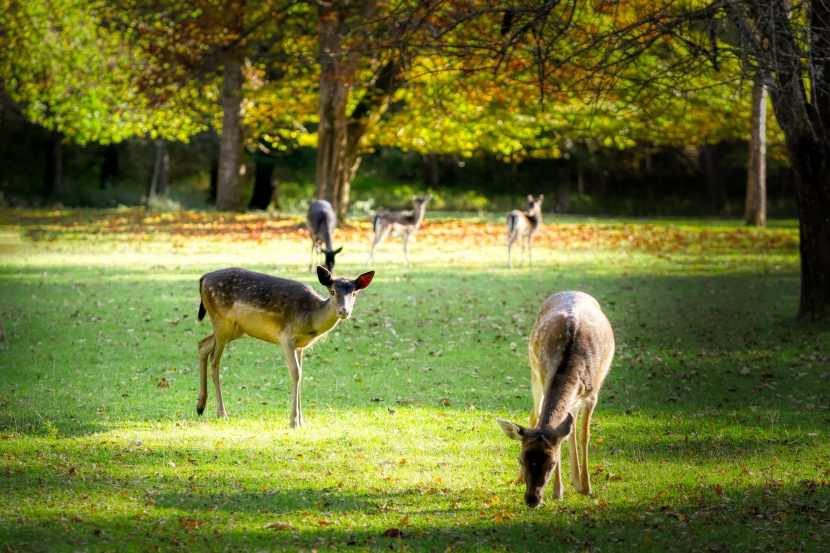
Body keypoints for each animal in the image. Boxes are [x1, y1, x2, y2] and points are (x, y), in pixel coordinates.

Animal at [197, 266, 374, 430]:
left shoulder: (300, 345)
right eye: (332, 292)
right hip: (221, 319)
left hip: (235, 329)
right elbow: (296, 373)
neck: (309, 319)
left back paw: (200, 406)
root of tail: (203, 278)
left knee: (202, 344)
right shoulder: (286, 337)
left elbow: (302, 374)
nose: (344, 311)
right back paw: (221, 413)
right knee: (215, 359)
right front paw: (294, 422)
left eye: (354, 294)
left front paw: (302, 421)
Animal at [498, 292, 616, 506]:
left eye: (551, 463)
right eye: (520, 459)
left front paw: (587, 487)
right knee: (534, 414)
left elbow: (584, 435)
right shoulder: (544, 378)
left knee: (571, 426)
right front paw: (557, 492)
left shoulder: (592, 394)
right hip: (534, 373)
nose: (531, 499)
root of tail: (573, 291)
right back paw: (520, 480)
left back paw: (577, 481)